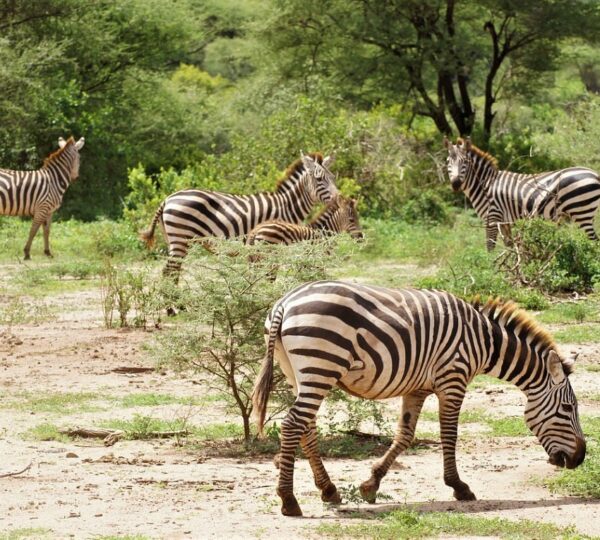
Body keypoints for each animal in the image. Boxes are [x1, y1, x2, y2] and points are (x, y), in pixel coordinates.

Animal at [139, 153, 338, 278]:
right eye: (319, 179)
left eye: (333, 177)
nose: (338, 197)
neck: (286, 206)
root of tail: (168, 199)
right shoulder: (270, 242)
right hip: (180, 238)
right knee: (170, 270)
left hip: (172, 238)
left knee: (171, 270)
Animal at [253, 280, 584, 516]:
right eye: (568, 408)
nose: (580, 459)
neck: (484, 341)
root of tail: (284, 303)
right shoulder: (453, 378)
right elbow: (449, 435)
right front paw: (459, 487)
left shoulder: (418, 387)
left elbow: (405, 435)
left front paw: (371, 484)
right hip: (320, 365)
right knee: (293, 425)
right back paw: (289, 501)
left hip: (298, 372)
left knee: (306, 427)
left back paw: (329, 490)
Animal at [442, 137, 600, 251]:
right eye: (448, 161)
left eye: (465, 162)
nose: (455, 184)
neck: (486, 184)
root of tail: (595, 174)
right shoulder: (504, 222)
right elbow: (509, 246)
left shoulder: (492, 217)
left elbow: (490, 247)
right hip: (586, 213)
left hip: (581, 212)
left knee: (594, 242)